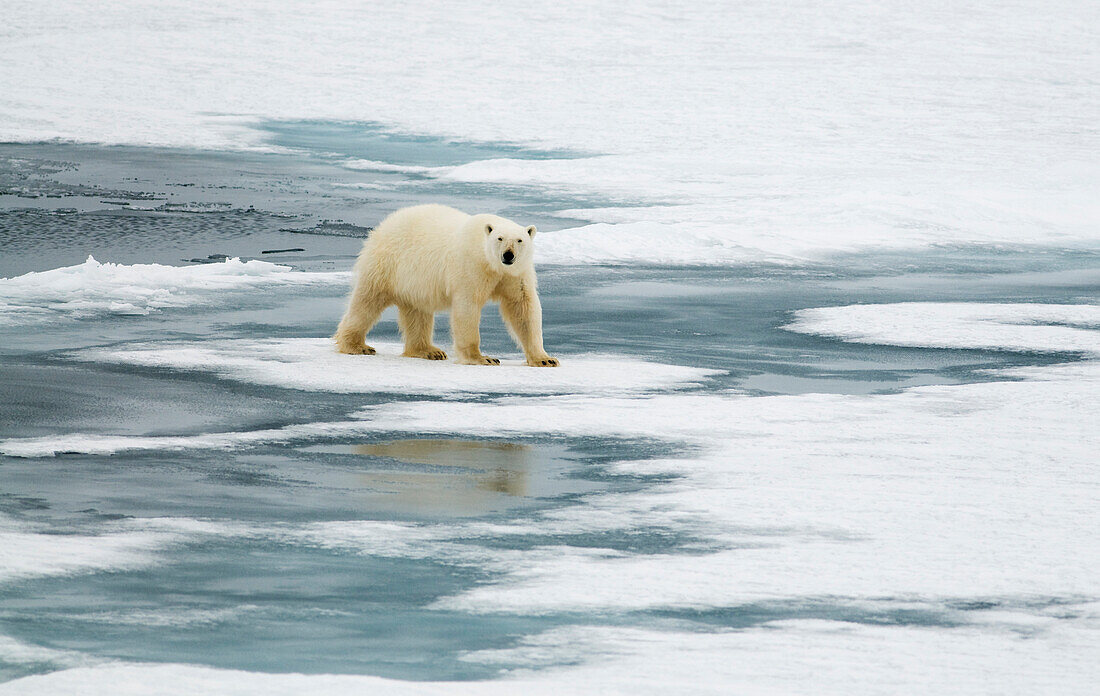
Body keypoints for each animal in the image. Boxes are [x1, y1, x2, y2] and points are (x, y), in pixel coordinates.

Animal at [332, 204, 558, 367]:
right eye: (500, 238)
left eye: (520, 240)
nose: (508, 255)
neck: (491, 263)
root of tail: (384, 224)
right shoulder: (471, 267)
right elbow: (468, 307)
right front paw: (483, 358)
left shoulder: (516, 274)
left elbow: (522, 307)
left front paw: (545, 359)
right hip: (386, 265)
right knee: (367, 302)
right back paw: (357, 345)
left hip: (414, 283)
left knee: (417, 313)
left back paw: (429, 351)